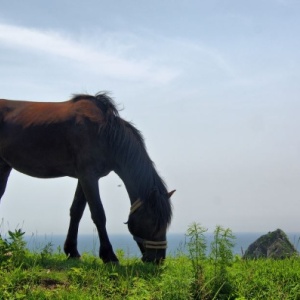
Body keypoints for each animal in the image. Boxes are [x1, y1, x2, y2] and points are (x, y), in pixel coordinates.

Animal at [0, 92, 175, 264]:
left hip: (4, 166)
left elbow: (76, 211)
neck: (105, 133)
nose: (159, 259)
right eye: (155, 223)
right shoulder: (88, 177)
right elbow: (98, 214)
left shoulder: (84, 178)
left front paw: (72, 251)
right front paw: (109, 255)